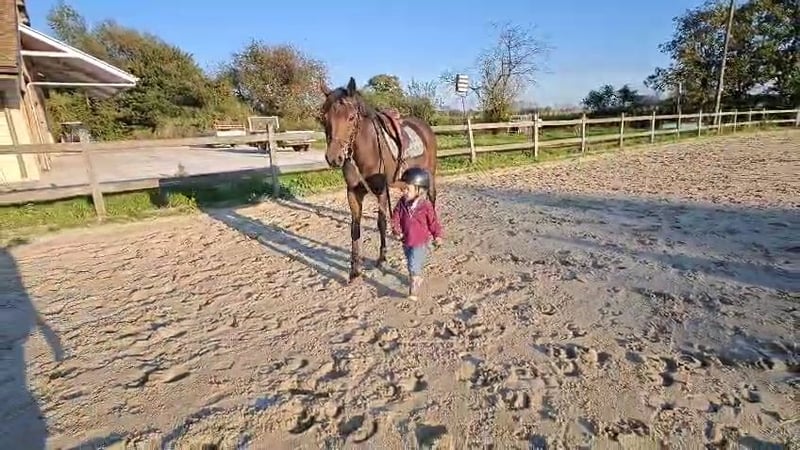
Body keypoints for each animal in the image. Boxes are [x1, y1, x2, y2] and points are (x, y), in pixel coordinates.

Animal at [319, 77, 439, 283]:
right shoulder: (353, 193)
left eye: (351, 117)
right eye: (324, 118)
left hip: (429, 174)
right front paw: (354, 270)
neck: (366, 150)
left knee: (431, 198)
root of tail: (424, 127)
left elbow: (381, 222)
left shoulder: (380, 190)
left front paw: (382, 258)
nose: (334, 158)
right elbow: (355, 228)